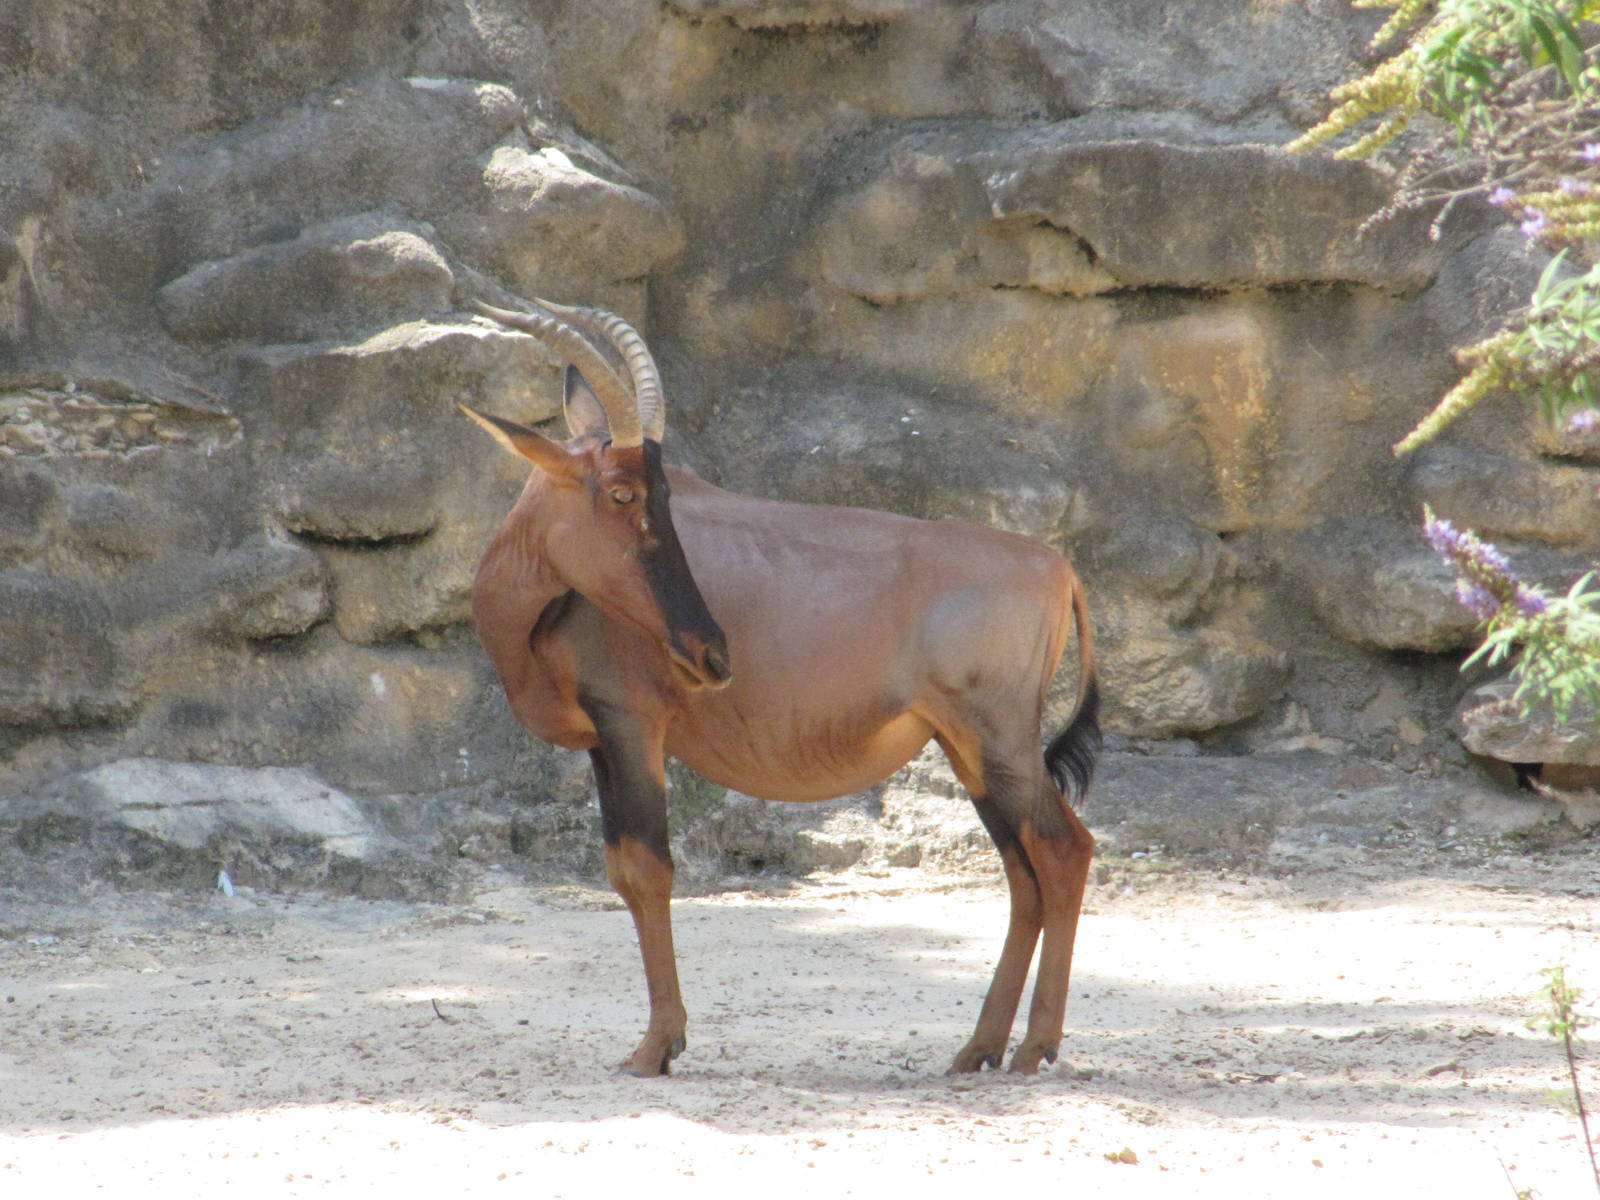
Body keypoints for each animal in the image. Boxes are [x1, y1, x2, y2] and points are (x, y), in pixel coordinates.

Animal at [460, 294, 1101, 1077]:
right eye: (622, 491)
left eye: (659, 491)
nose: (710, 653)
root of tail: (1054, 566)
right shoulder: (601, 744)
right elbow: (620, 869)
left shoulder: (632, 725)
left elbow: (646, 869)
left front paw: (655, 1047)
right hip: (969, 751)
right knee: (1024, 873)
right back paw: (977, 1048)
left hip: (999, 739)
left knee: (1062, 853)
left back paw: (1033, 1048)